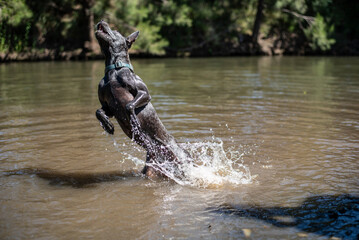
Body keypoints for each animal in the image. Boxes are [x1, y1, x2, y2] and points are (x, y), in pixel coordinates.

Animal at [95, 20, 191, 178]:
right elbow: (99, 111)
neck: (114, 71)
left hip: (179, 162)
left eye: (115, 30)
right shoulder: (107, 105)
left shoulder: (144, 93)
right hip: (151, 167)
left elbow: (129, 105)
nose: (101, 21)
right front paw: (107, 125)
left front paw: (133, 120)